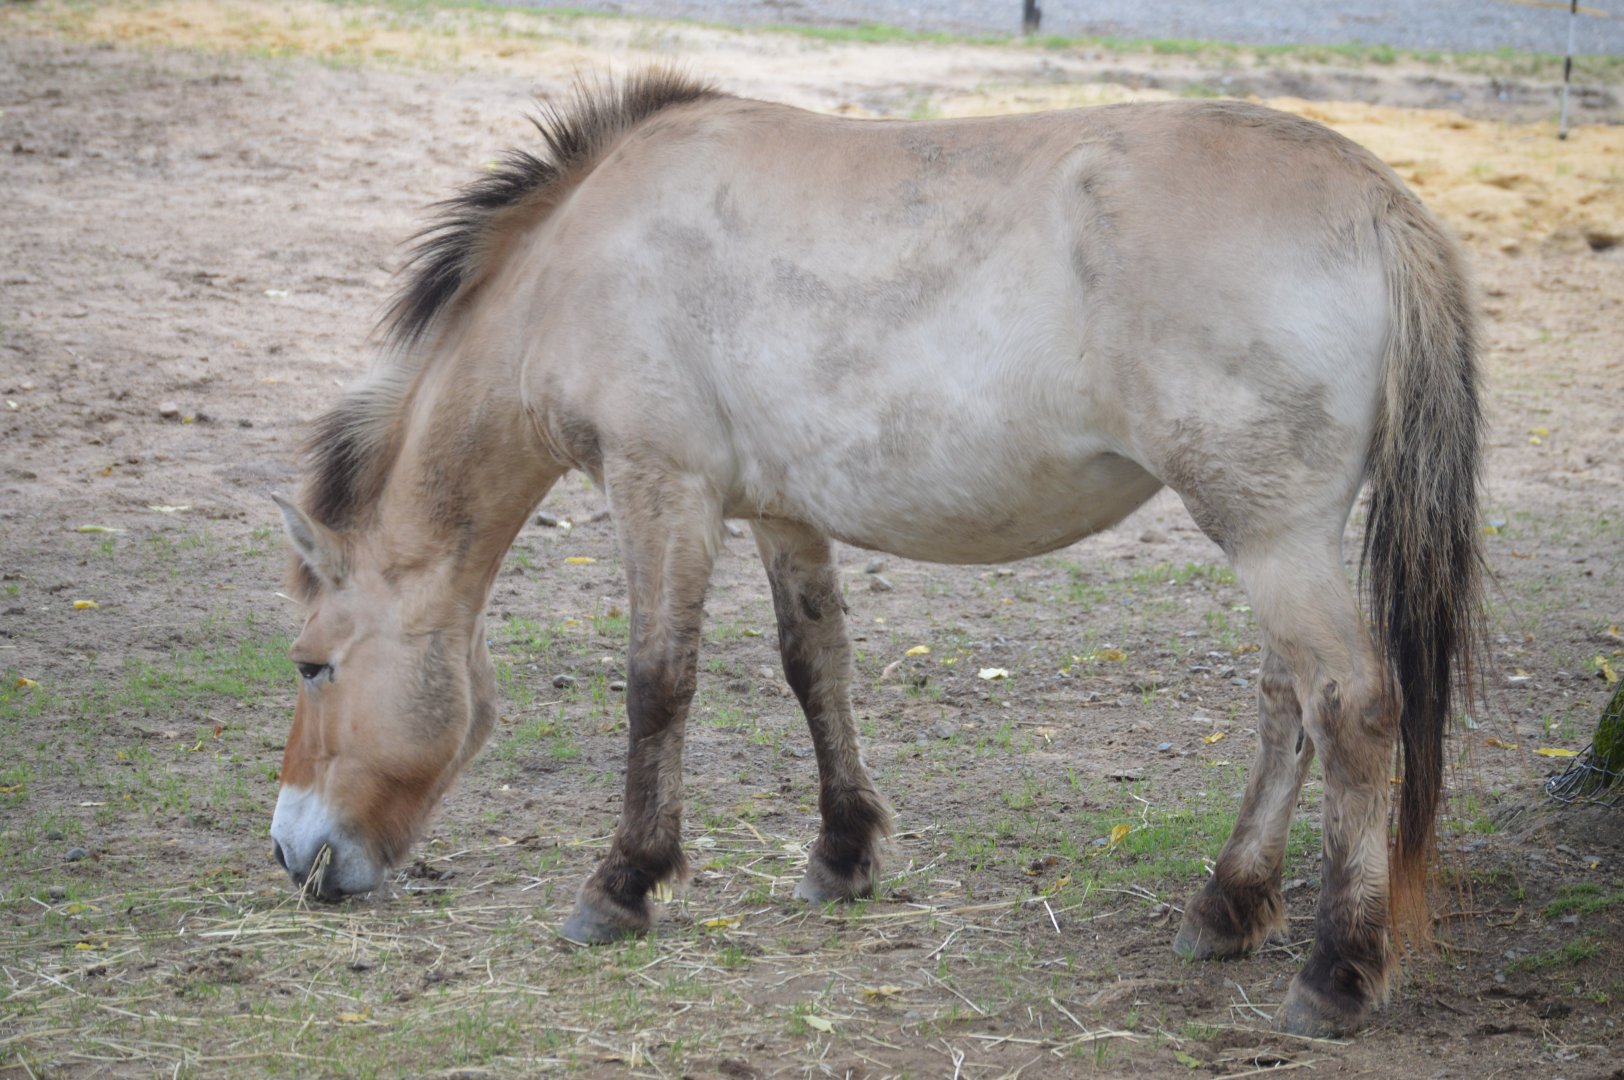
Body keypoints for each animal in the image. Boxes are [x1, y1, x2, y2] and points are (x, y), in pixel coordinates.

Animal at [269, 70, 1481, 1037]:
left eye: (314, 665)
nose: (292, 855)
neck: (584, 255)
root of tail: (1379, 204)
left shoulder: (661, 488)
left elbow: (659, 685)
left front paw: (622, 887)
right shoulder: (780, 511)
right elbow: (818, 669)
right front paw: (844, 855)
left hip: (1271, 535)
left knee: (1351, 709)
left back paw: (1337, 972)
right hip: (1280, 536)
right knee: (1289, 709)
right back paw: (1226, 907)